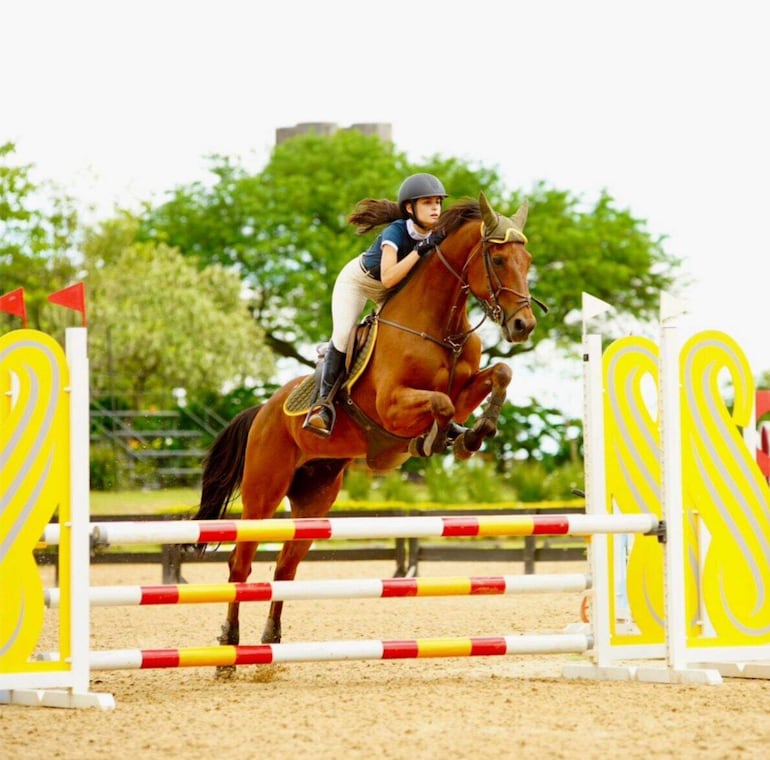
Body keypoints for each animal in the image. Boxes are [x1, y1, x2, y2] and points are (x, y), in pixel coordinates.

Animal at [190, 193, 544, 668]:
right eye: (500, 258)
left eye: (528, 260)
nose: (523, 325)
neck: (441, 328)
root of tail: (263, 411)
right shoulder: (393, 406)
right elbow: (441, 402)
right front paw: (436, 440)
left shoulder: (469, 383)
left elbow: (498, 374)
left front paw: (472, 435)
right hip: (263, 495)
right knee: (240, 566)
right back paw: (229, 648)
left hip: (315, 501)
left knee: (285, 567)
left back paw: (269, 644)